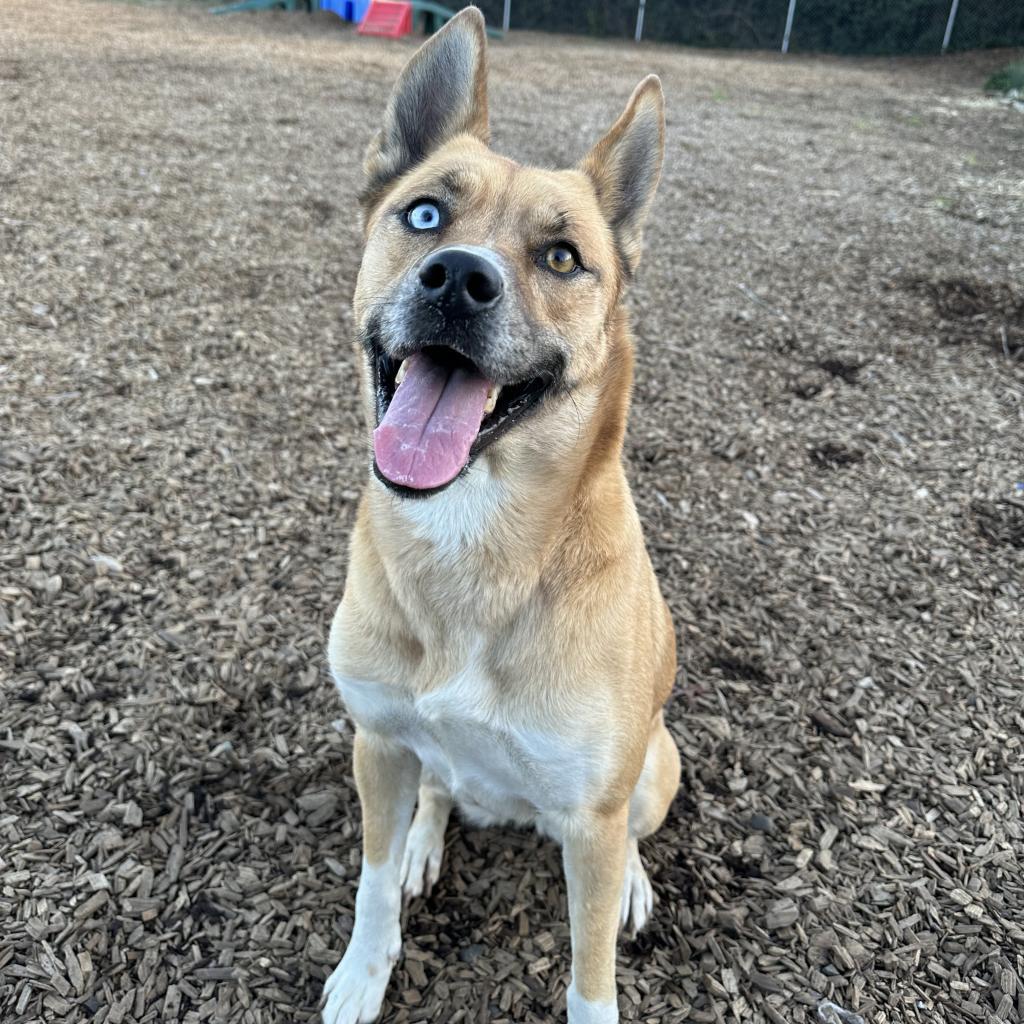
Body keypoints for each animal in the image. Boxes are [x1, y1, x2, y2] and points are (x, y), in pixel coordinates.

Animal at [323, 6, 679, 1015]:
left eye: (562, 257)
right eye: (425, 213)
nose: (456, 279)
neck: (470, 541)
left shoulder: (593, 820)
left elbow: (591, 979)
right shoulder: (376, 742)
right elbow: (368, 883)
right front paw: (363, 971)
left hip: (654, 766)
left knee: (636, 832)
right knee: (441, 787)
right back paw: (426, 837)